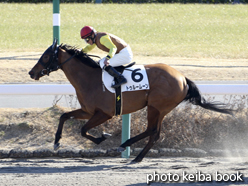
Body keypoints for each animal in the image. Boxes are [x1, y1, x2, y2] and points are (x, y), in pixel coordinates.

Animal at [28, 39, 233, 163]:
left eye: (46, 56)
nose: (31, 72)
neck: (89, 78)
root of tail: (182, 77)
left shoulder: (105, 113)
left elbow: (83, 130)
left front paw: (103, 137)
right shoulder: (87, 110)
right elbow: (64, 116)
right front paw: (56, 142)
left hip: (156, 107)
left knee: (151, 130)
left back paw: (126, 145)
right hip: (161, 109)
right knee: (155, 133)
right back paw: (137, 157)